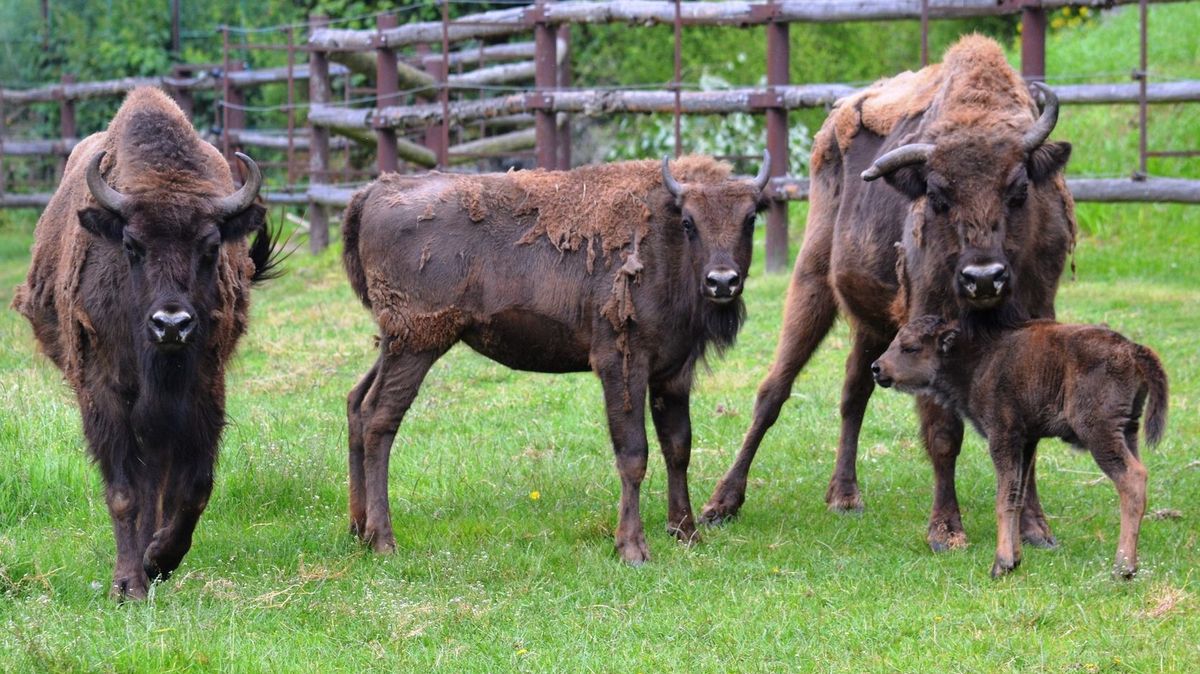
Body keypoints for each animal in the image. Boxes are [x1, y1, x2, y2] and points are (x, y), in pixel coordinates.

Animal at [11, 86, 276, 594]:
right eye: (132, 246)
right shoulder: (104, 394)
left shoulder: (203, 392)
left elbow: (192, 489)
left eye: (211, 247)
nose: (171, 324)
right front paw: (129, 582)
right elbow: (124, 492)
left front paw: (160, 559)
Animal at [700, 34, 1075, 551]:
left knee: (854, 391)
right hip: (812, 282)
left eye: (1018, 190)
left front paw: (1037, 528)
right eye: (936, 195)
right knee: (774, 390)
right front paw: (946, 531)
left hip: (872, 322)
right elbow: (943, 432)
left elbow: (1027, 434)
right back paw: (721, 504)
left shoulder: (1037, 315)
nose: (983, 278)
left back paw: (844, 496)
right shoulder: (928, 319)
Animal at [873, 314, 1171, 578]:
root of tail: (1132, 349)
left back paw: (1122, 569)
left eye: (910, 347)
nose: (877, 368)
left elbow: (1003, 498)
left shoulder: (1003, 437)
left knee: (1132, 478)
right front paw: (1015, 559)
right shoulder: (1026, 441)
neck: (979, 359)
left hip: (1100, 434)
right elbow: (1016, 495)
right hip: (1128, 431)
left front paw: (1000, 564)